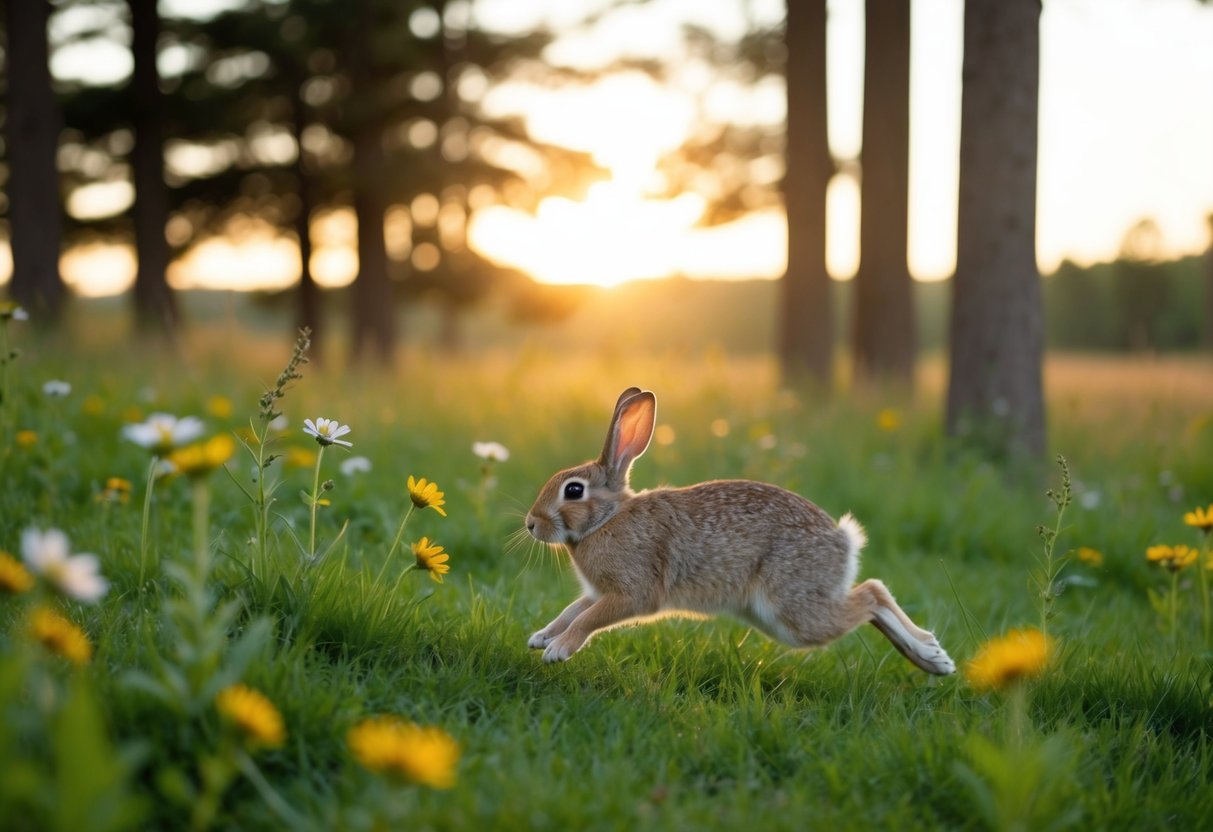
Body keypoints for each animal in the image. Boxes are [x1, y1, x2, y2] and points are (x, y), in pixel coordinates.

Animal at [524, 387, 955, 676]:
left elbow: (588, 620)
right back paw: (931, 657)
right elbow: (571, 611)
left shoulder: (632, 592)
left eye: (573, 491)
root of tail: (843, 540)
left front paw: (558, 650)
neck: (608, 519)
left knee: (870, 595)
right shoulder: (598, 592)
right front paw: (541, 637)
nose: (531, 523)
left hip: (792, 610)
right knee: (872, 597)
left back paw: (932, 656)